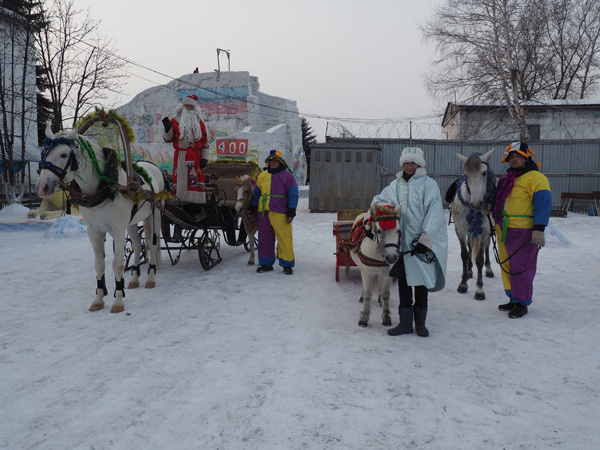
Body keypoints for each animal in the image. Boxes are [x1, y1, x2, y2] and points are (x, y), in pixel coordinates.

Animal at [35, 126, 166, 312]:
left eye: (63, 154)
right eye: (43, 153)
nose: (42, 187)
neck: (104, 188)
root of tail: (152, 166)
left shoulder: (118, 231)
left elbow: (117, 265)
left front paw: (118, 300)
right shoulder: (94, 231)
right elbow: (99, 265)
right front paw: (98, 299)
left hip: (155, 214)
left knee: (152, 244)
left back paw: (151, 278)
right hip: (132, 222)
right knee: (138, 245)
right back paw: (134, 279)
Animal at [452, 149, 494, 300]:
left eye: (484, 173)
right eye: (466, 175)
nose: (477, 204)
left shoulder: (485, 231)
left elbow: (480, 259)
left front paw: (479, 290)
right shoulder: (460, 229)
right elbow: (464, 254)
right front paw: (463, 284)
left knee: (487, 248)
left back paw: (489, 269)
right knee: (470, 245)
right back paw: (469, 270)